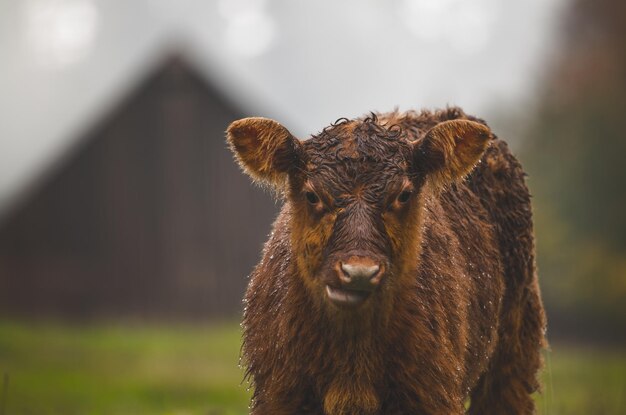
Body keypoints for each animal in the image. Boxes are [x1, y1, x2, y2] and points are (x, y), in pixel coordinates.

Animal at [227, 108, 544, 415]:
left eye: (403, 195)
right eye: (312, 195)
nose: (359, 273)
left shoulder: (432, 395)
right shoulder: (278, 396)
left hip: (513, 358)